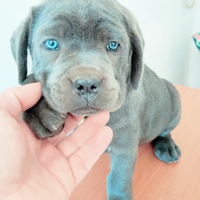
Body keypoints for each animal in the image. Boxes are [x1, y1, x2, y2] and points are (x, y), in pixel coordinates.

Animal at [10, 0, 181, 199]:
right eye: (51, 43)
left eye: (113, 45)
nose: (86, 84)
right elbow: (31, 80)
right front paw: (39, 111)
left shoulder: (125, 147)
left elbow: (118, 179)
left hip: (175, 103)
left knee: (166, 131)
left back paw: (166, 146)